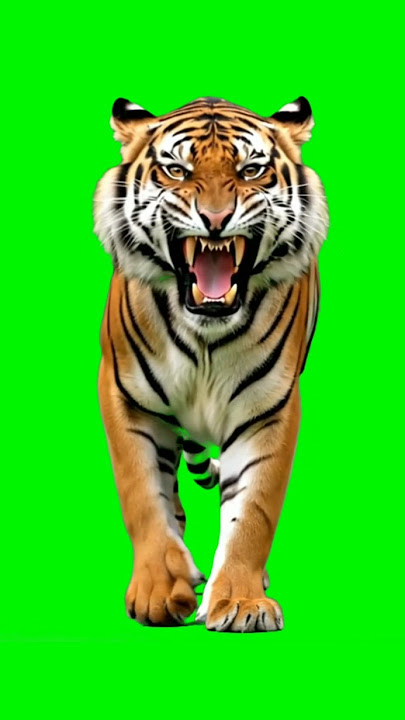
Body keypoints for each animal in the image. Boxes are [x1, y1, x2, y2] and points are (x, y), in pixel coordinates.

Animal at [94, 95, 329, 632]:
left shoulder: (268, 409)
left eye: (251, 170)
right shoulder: (126, 396)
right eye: (176, 170)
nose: (216, 219)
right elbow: (143, 495)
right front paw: (160, 590)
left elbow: (253, 511)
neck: (206, 332)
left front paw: (241, 601)